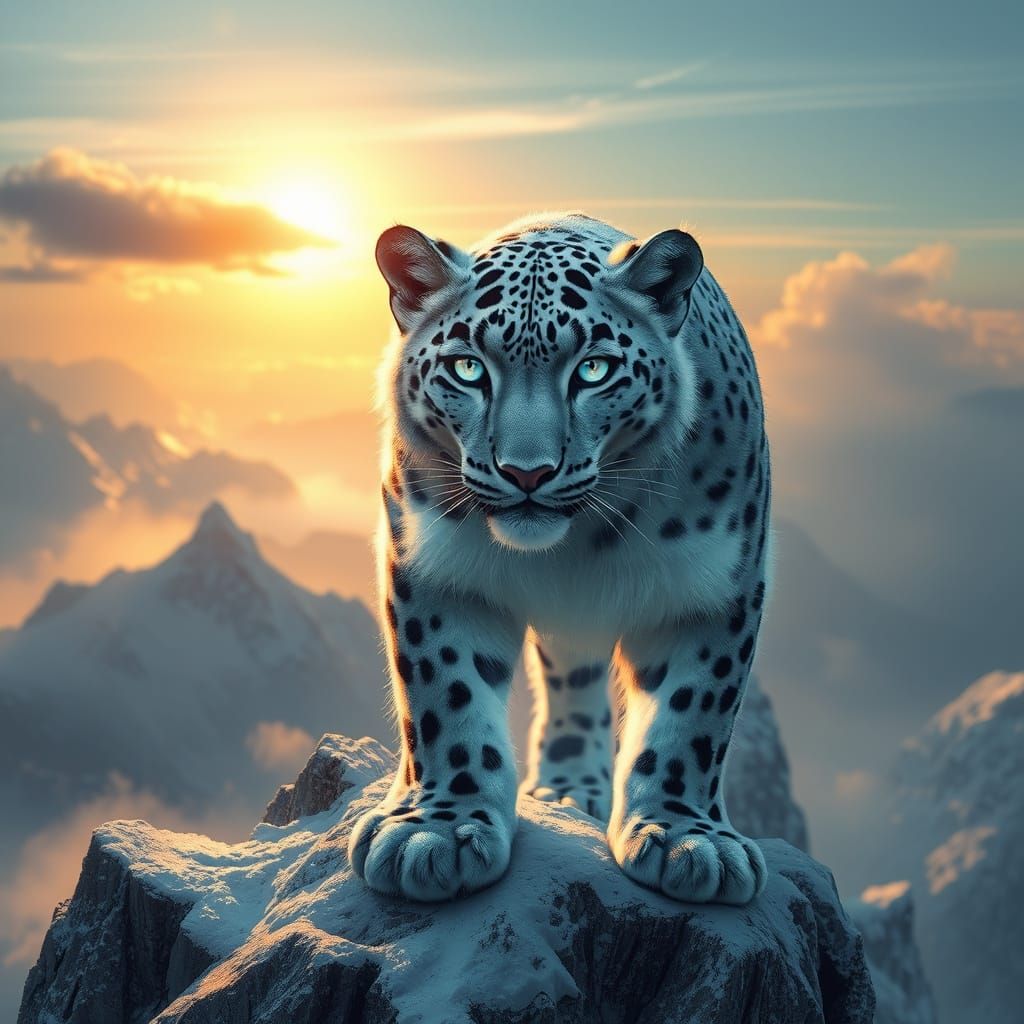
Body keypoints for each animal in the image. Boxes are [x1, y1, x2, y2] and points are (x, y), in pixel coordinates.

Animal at [348, 212, 771, 906]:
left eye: (594, 370)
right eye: (468, 368)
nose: (527, 471)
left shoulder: (716, 587)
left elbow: (695, 712)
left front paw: (689, 840)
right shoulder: (432, 567)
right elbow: (444, 693)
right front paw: (437, 831)